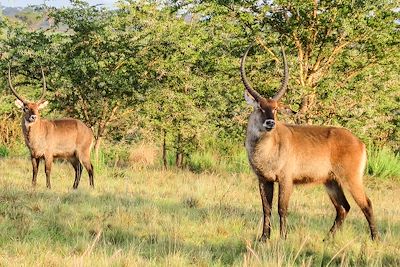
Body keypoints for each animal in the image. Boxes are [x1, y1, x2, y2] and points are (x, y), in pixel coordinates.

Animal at [241, 43, 378, 241]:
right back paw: (327, 239)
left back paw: (375, 239)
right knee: (343, 207)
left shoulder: (286, 179)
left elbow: (282, 208)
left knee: (366, 204)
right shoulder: (263, 179)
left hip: (351, 178)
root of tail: (359, 142)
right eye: (260, 106)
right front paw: (264, 238)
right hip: (331, 182)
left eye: (275, 109)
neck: (266, 149)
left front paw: (283, 238)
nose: (270, 123)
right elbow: (266, 209)